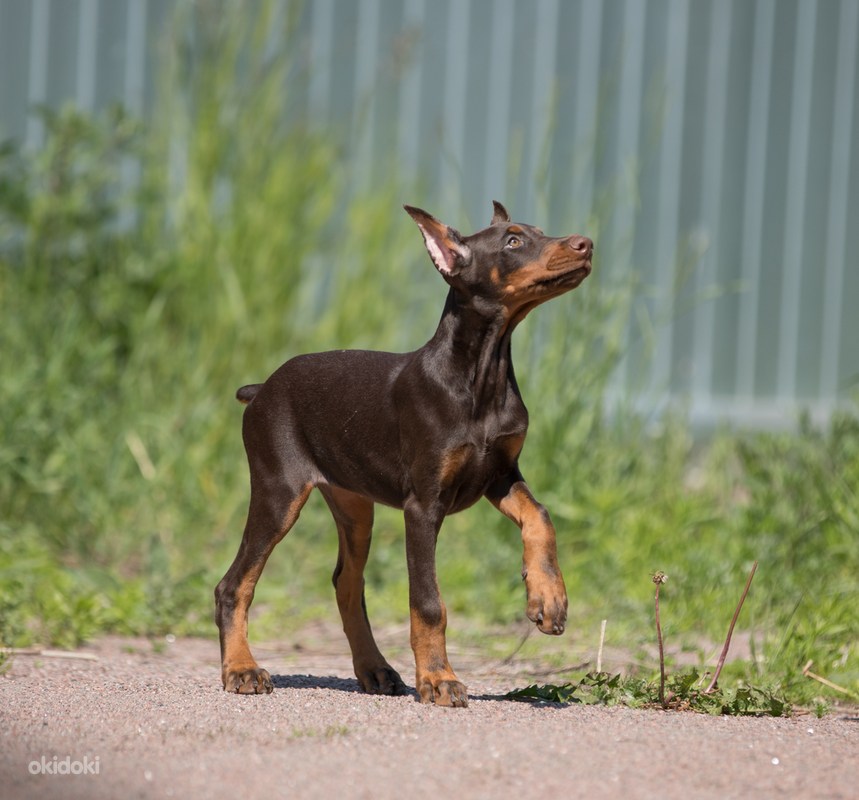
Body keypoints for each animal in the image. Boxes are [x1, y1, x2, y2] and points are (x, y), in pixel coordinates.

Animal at [214, 202, 596, 708]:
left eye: (538, 230)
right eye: (513, 242)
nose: (586, 244)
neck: (481, 374)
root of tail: (261, 388)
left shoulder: (499, 474)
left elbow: (541, 515)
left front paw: (548, 600)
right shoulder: (423, 505)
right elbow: (428, 602)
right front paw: (438, 678)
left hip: (355, 504)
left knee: (346, 583)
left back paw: (374, 668)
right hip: (279, 492)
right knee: (235, 583)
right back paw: (241, 668)